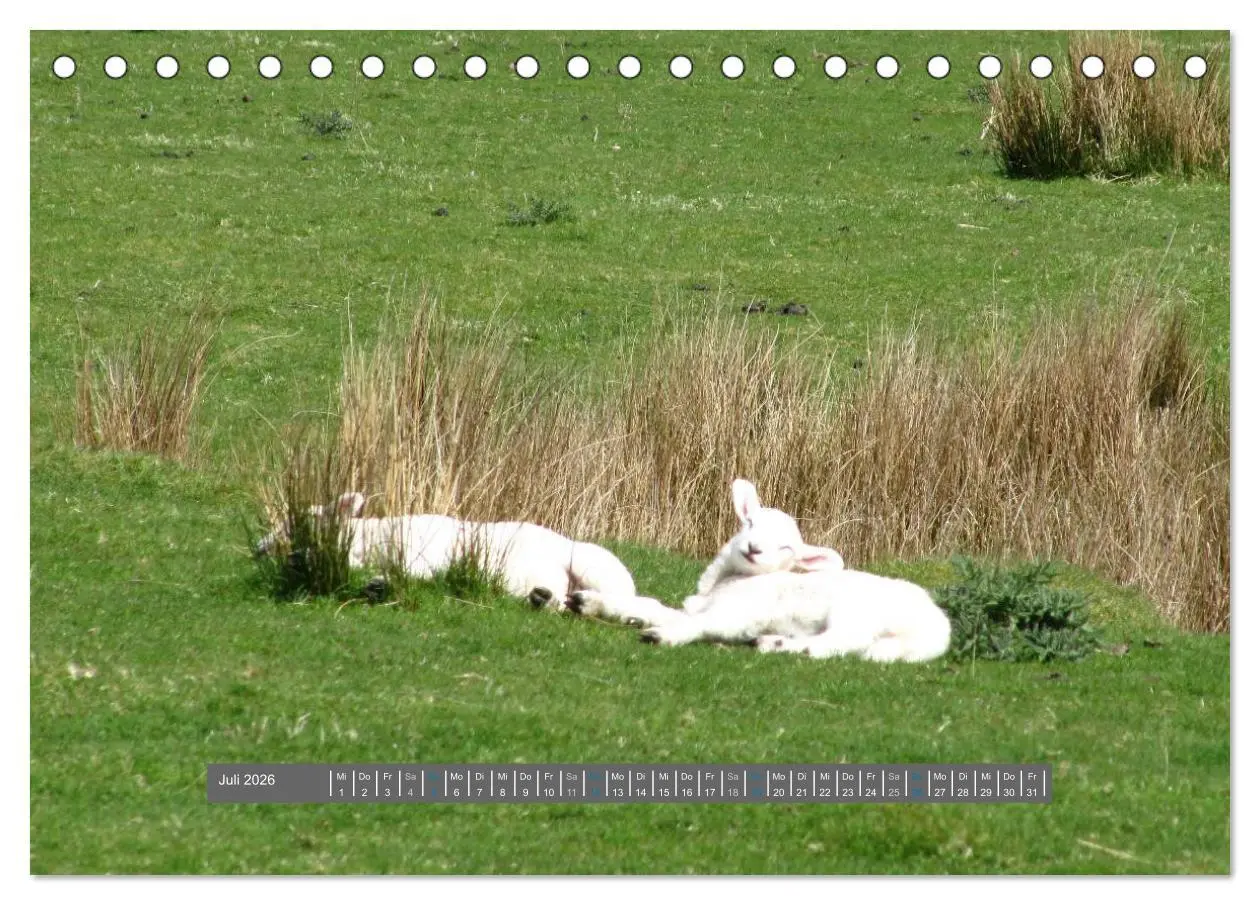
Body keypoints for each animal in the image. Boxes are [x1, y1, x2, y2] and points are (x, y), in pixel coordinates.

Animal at [255, 492, 637, 610]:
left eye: (305, 521)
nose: (260, 550)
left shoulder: (425, 554)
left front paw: (378, 585)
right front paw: (375, 586)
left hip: (596, 568)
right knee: (557, 602)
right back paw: (541, 597)